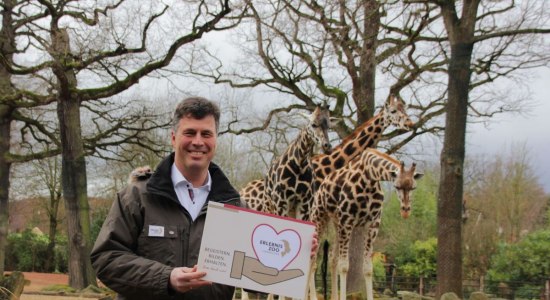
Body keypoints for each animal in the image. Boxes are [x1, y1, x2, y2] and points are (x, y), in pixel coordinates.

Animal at [308, 149, 424, 298]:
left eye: (413, 187)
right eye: (397, 186)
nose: (405, 211)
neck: (370, 177)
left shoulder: (372, 224)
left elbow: (368, 268)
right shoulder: (347, 220)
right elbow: (344, 266)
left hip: (336, 223)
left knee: (333, 258)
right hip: (319, 217)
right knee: (313, 258)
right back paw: (312, 297)